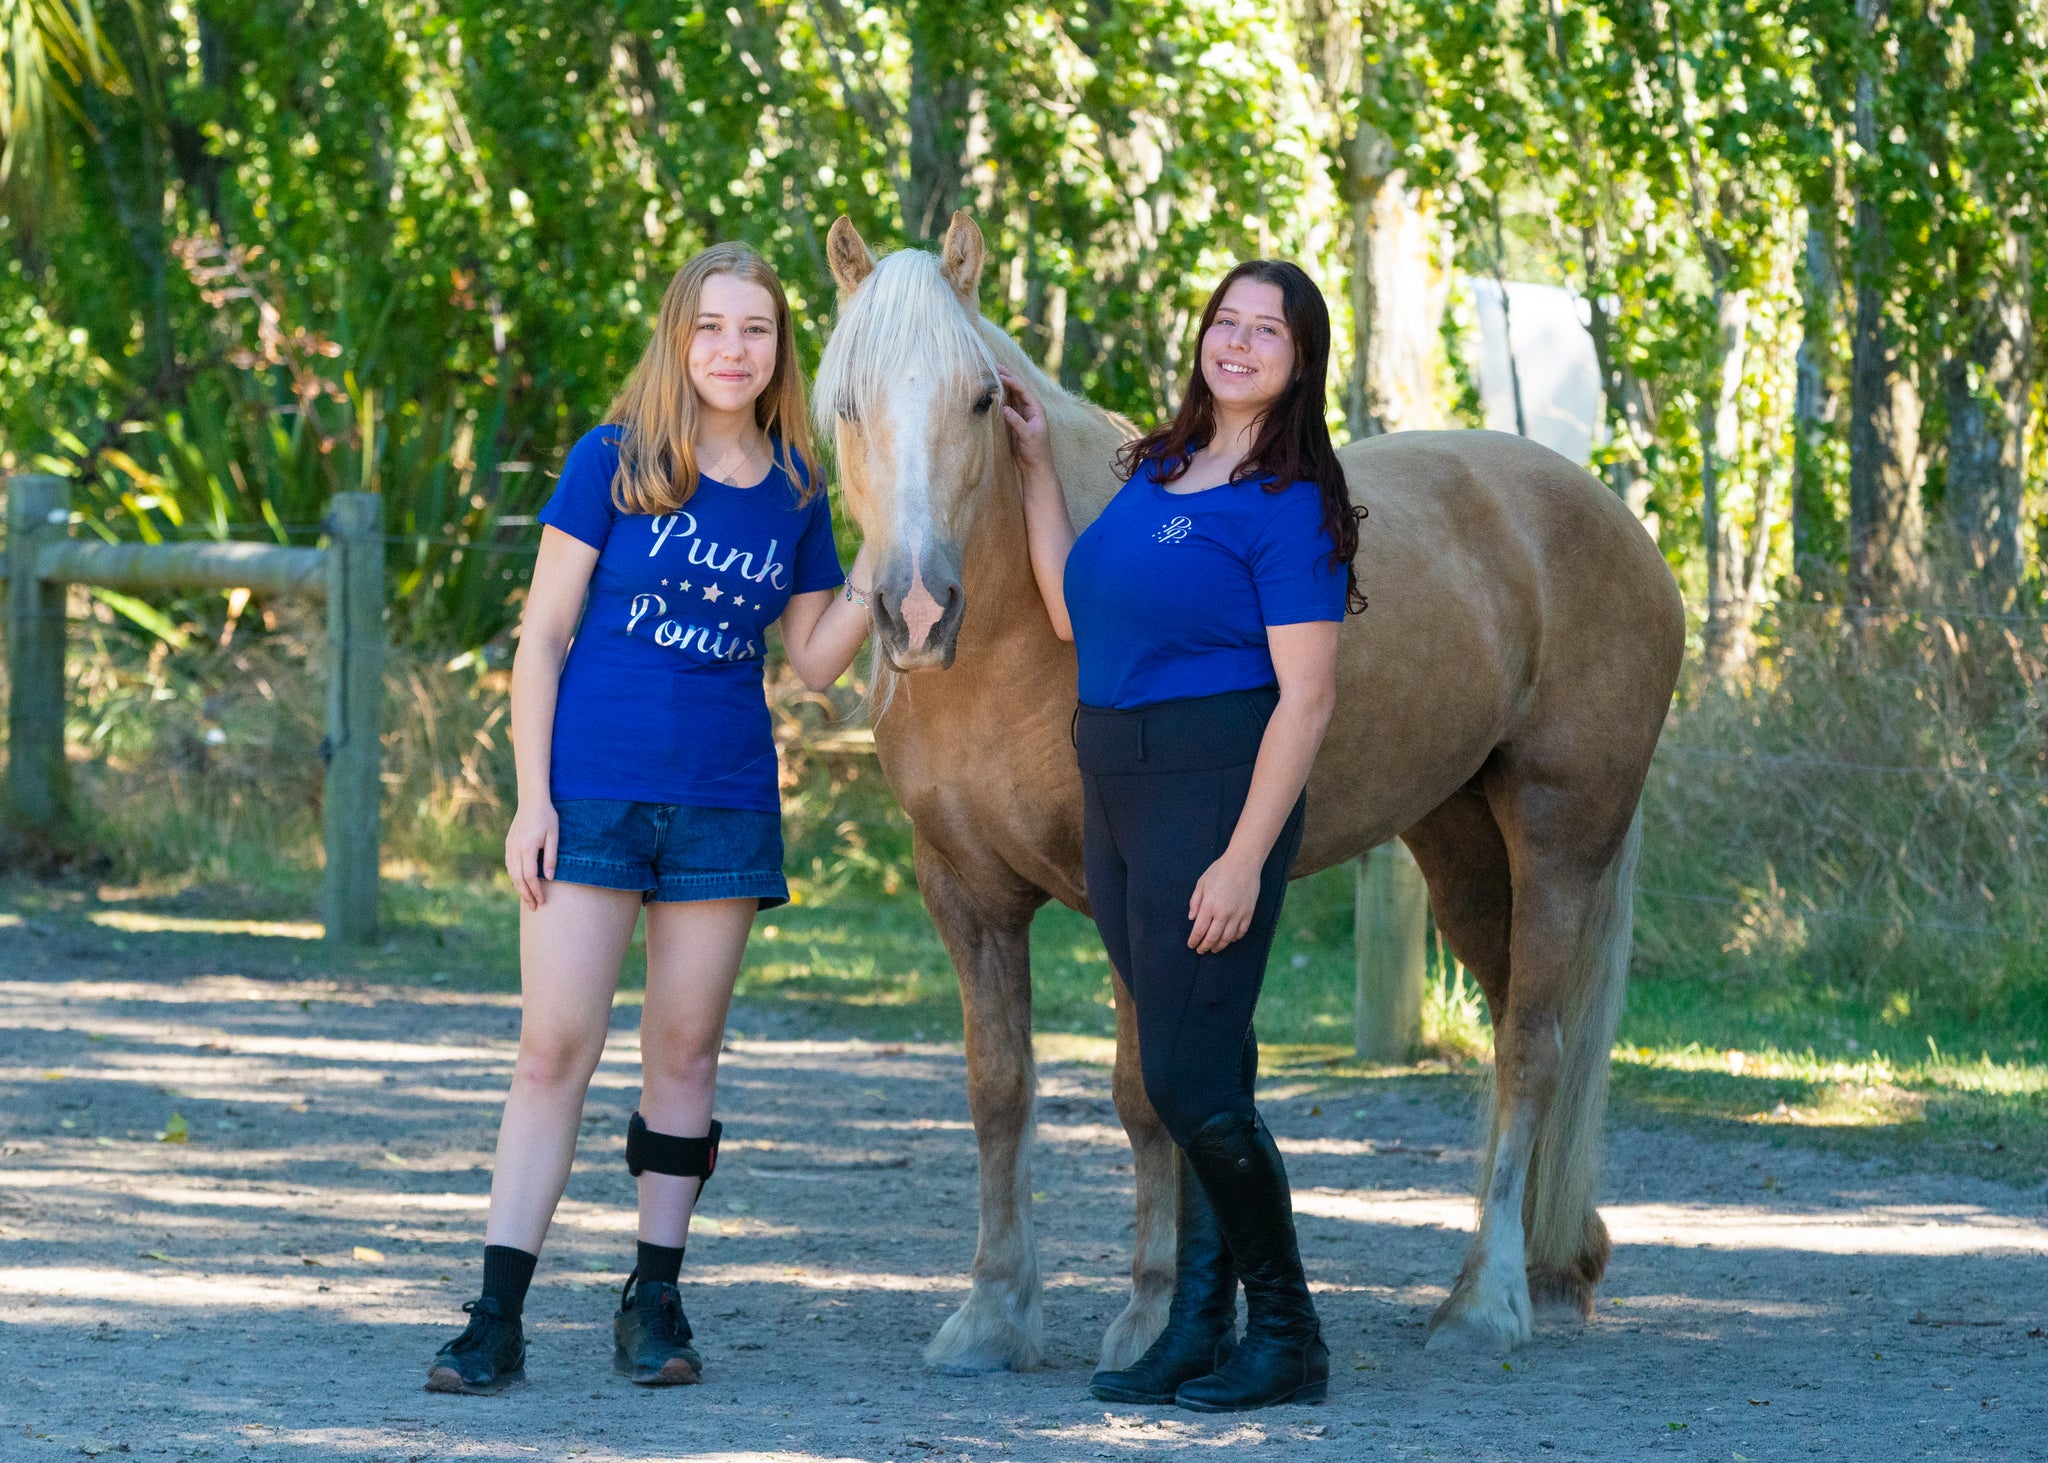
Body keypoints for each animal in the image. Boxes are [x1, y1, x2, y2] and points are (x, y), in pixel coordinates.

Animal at [811, 207, 1679, 1368]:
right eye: (847, 405)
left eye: (980, 398)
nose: (914, 610)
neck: (1017, 636)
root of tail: (1610, 519)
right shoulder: (964, 890)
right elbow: (999, 1089)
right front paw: (992, 1310)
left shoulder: (1134, 888)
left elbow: (1141, 1092)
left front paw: (1144, 1313)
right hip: (1462, 846)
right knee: (1517, 1029)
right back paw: (1554, 1268)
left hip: (1559, 836)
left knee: (1534, 1047)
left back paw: (1484, 1299)